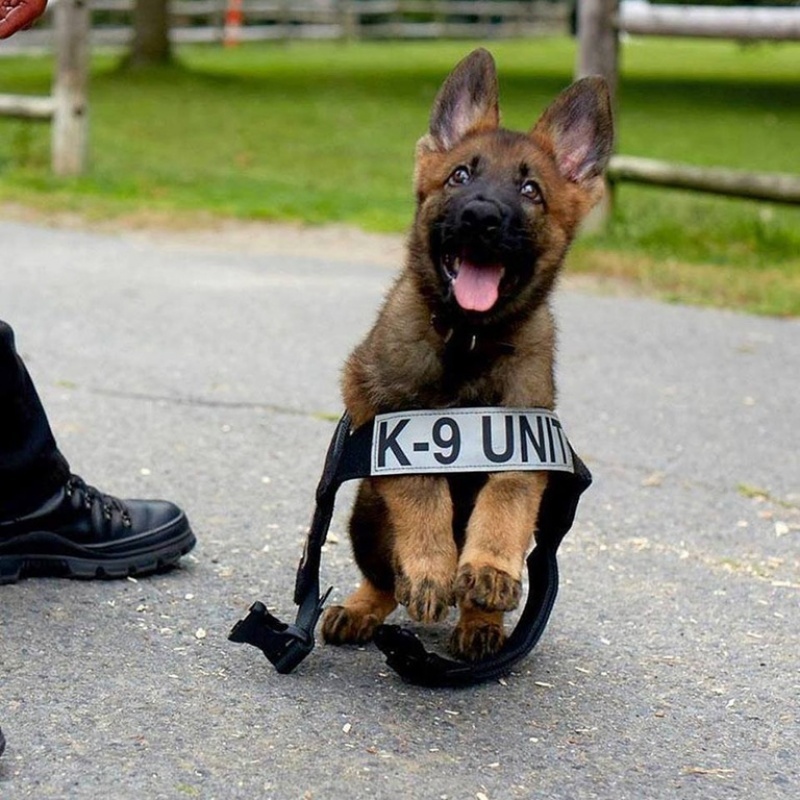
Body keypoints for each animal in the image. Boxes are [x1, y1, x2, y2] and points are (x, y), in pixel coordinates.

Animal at [318, 51, 612, 664]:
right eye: (460, 176)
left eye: (531, 189)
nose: (481, 216)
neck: (468, 343)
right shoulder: (389, 419)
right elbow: (423, 490)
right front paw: (432, 568)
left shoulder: (525, 434)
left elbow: (505, 499)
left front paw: (488, 570)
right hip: (365, 513)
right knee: (384, 580)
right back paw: (364, 606)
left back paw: (480, 618)